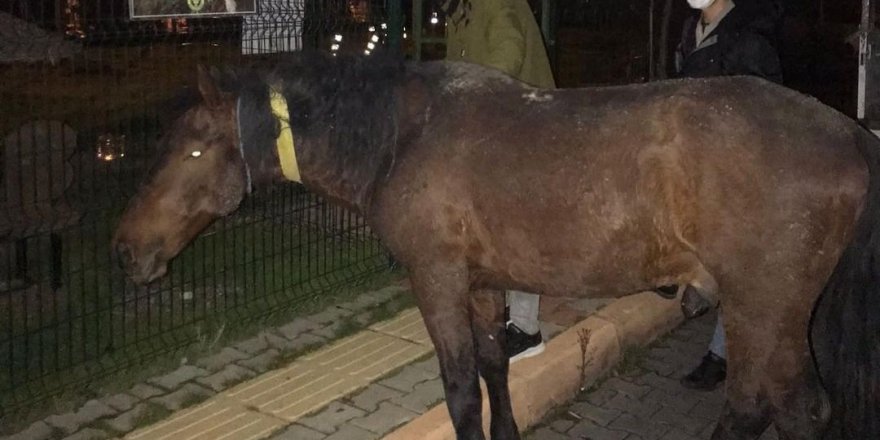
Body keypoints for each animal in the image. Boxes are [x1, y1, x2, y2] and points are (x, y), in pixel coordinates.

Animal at [113, 52, 880, 440]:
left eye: (193, 148)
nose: (124, 248)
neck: (402, 139)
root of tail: (851, 135)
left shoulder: (436, 279)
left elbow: (459, 389)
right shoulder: (480, 283)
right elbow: (493, 370)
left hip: (764, 306)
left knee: (769, 406)